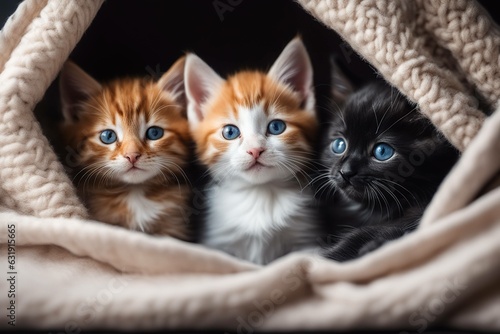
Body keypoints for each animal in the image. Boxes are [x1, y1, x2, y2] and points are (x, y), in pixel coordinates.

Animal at [187, 38, 320, 264]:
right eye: (230, 132)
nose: (255, 150)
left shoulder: (306, 238)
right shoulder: (218, 242)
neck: (259, 194)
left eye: (276, 127)